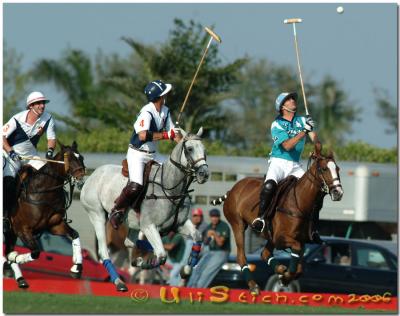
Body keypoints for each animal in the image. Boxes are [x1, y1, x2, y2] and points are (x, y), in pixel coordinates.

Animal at [4, 142, 86, 288]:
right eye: (69, 158)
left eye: (81, 157)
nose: (81, 179)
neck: (43, 192)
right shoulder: (22, 229)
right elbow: (35, 252)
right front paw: (15, 257)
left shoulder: (55, 225)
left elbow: (75, 234)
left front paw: (76, 268)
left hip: (10, 233)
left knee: (8, 249)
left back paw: (20, 279)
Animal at [79, 128, 208, 292]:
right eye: (190, 149)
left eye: (204, 149)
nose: (204, 174)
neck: (170, 188)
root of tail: (92, 176)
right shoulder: (149, 225)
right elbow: (162, 255)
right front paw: (142, 263)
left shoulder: (179, 224)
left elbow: (197, 236)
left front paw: (186, 270)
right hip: (97, 214)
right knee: (104, 251)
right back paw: (119, 282)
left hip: (132, 225)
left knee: (130, 242)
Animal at [212, 143, 344, 294]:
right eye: (324, 169)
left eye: (338, 169)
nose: (338, 193)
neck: (300, 203)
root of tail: (232, 190)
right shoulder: (281, 238)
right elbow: (295, 257)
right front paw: (285, 277)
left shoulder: (301, 240)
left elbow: (299, 268)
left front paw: (284, 275)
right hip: (237, 224)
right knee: (241, 256)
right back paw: (254, 285)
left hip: (269, 235)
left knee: (264, 253)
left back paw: (279, 269)